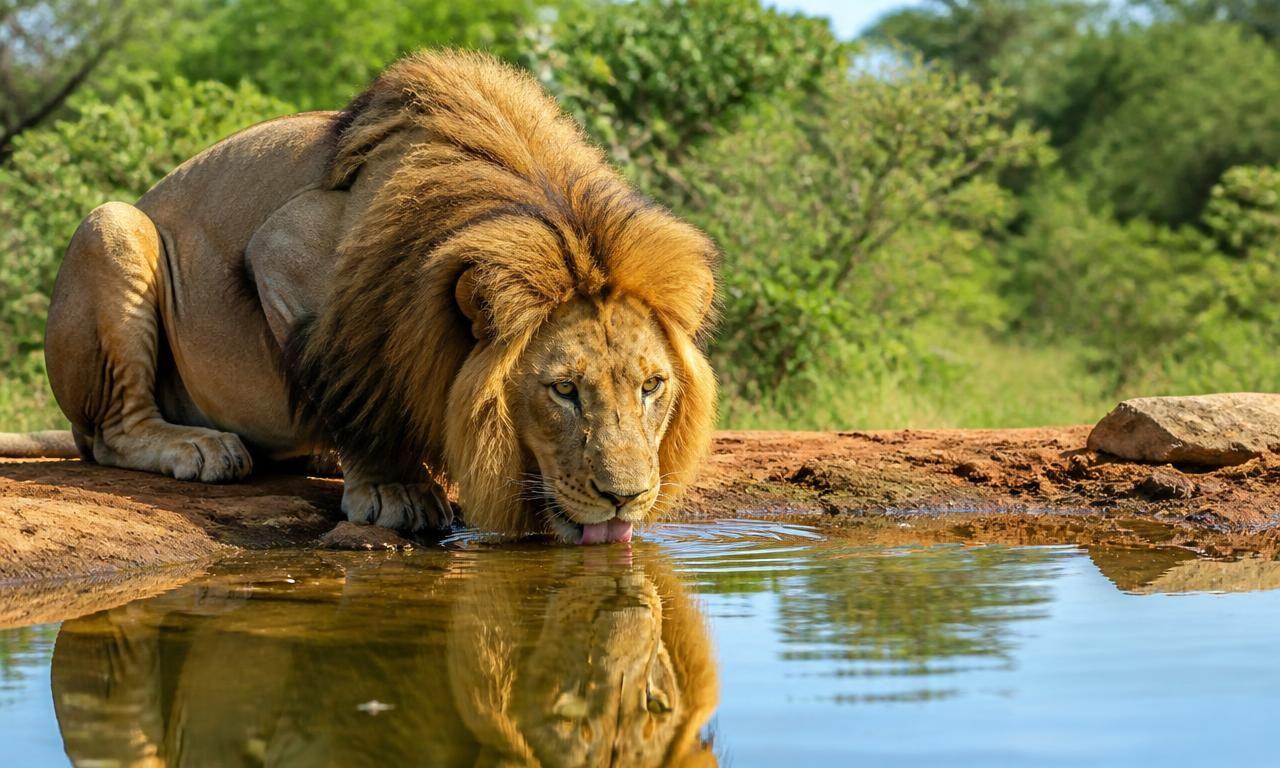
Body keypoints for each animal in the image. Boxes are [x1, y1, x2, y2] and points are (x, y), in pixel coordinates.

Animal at [14, 50, 718, 542]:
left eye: (653, 386)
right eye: (563, 390)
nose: (627, 498)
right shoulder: (282, 248)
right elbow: (350, 383)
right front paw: (393, 489)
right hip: (112, 227)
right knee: (112, 433)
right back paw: (199, 447)